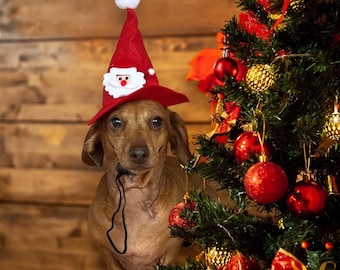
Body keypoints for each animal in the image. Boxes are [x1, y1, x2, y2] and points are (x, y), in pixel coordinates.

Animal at [82, 100, 193, 268]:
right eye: (115, 122)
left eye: (156, 121)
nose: (139, 153)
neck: (134, 197)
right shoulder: (106, 253)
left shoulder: (170, 252)